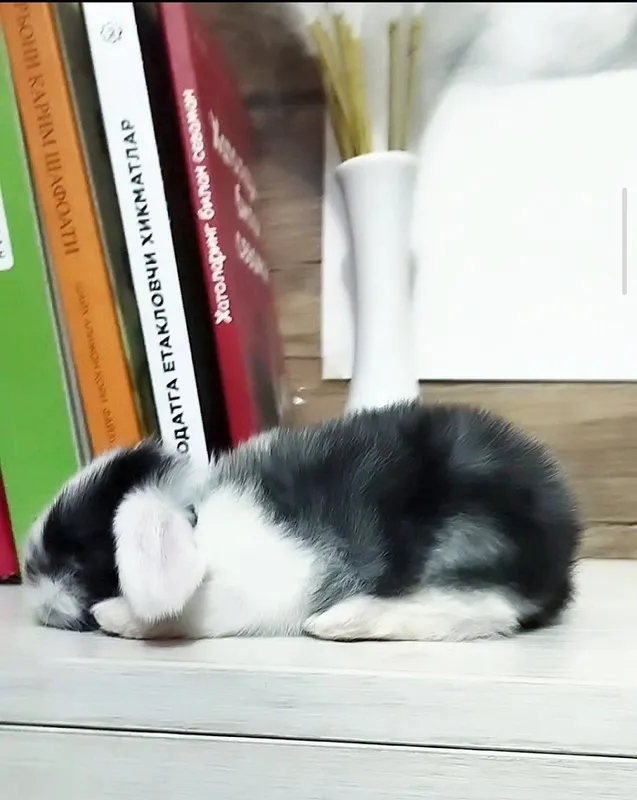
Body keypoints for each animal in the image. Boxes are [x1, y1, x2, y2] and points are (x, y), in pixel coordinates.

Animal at [21, 401, 581, 642]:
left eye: (75, 555)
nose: (35, 600)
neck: (203, 532)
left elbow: (174, 616)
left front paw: (115, 617)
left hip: (466, 543)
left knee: (486, 610)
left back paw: (340, 622)